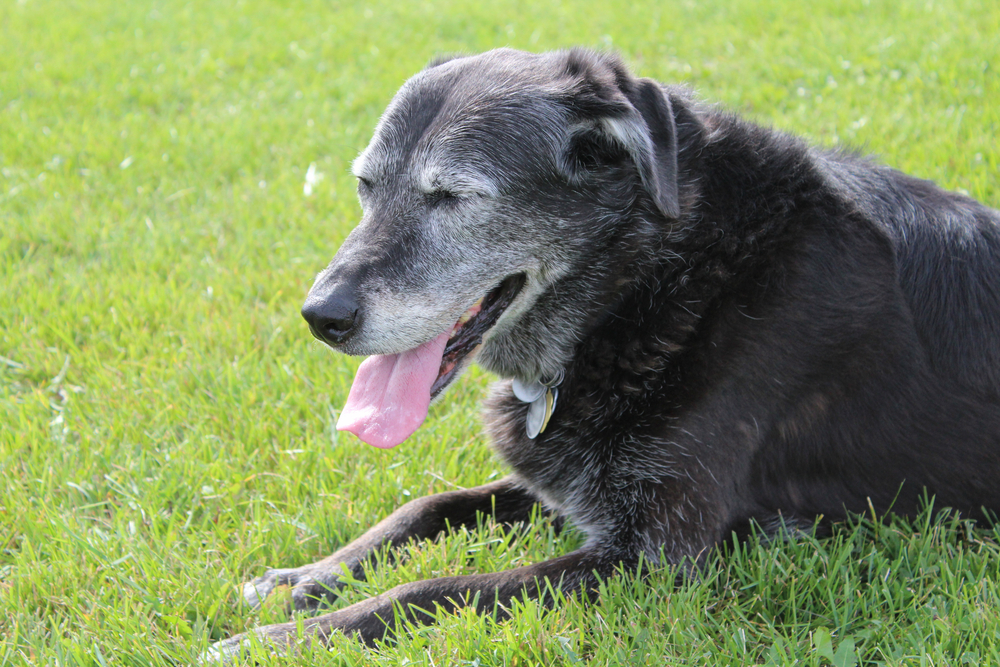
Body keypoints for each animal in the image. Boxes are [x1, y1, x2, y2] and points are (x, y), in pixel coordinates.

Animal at [201, 48, 1000, 664]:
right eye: (366, 185)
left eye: (452, 196)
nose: (320, 316)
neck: (657, 275)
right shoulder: (572, 483)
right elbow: (426, 507)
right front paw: (306, 577)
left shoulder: (652, 555)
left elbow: (437, 588)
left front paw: (282, 641)